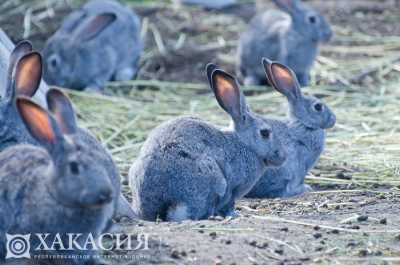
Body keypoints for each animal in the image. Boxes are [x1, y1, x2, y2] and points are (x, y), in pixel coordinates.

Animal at [130, 64, 286, 221]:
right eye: (265, 133)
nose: (283, 157)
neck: (244, 143)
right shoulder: (232, 189)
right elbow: (229, 205)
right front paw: (234, 215)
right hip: (214, 180)